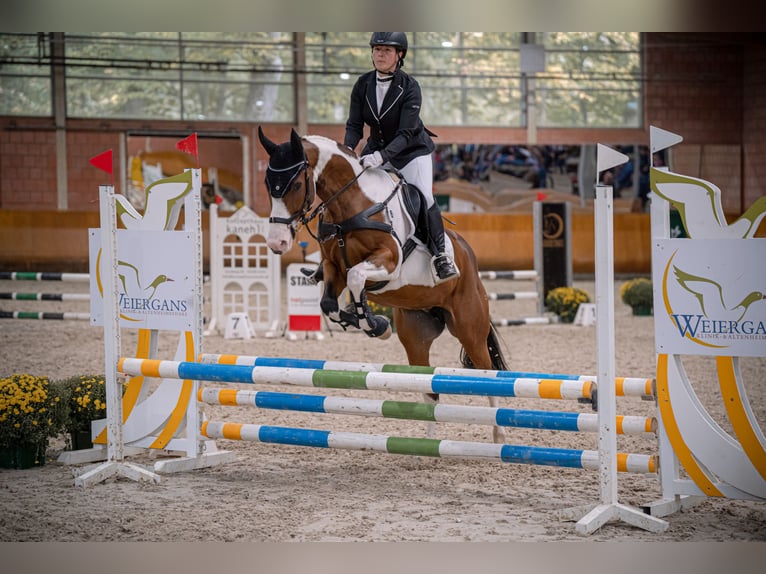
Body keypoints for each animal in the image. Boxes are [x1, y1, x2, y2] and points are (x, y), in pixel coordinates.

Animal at [260, 128, 512, 446]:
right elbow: (329, 303)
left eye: (294, 184)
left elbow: (357, 278)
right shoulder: (332, 267)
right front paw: (365, 321)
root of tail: (469, 258)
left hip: (469, 326)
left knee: (487, 373)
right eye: (268, 184)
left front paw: (373, 324)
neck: (352, 202)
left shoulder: (388, 261)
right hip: (416, 336)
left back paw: (499, 435)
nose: (277, 243)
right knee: (429, 389)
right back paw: (427, 446)